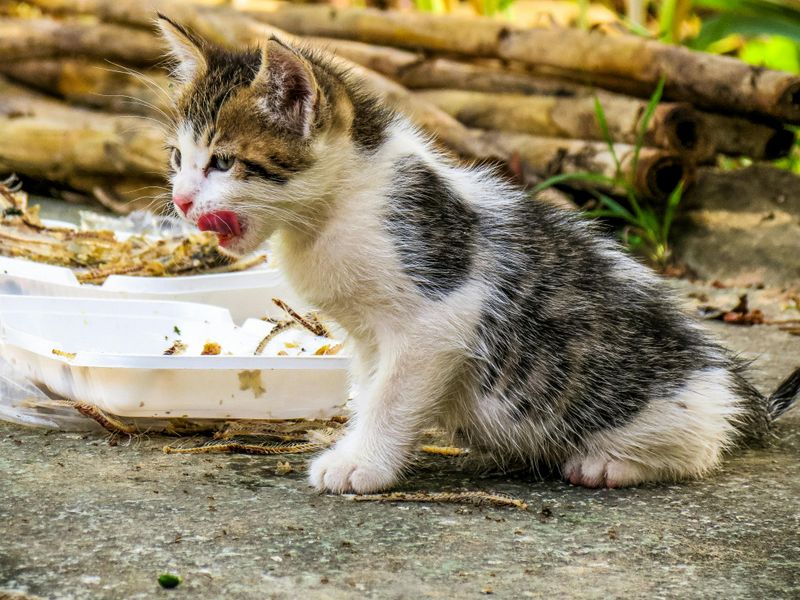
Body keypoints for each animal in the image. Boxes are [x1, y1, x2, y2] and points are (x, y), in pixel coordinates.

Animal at [158, 17, 800, 492]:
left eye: (224, 162)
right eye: (178, 158)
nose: (182, 201)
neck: (338, 207)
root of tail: (736, 388)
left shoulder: (441, 311)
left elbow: (392, 396)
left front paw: (360, 464)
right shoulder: (366, 337)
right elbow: (368, 387)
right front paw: (356, 442)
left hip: (666, 405)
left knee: (699, 446)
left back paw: (610, 463)